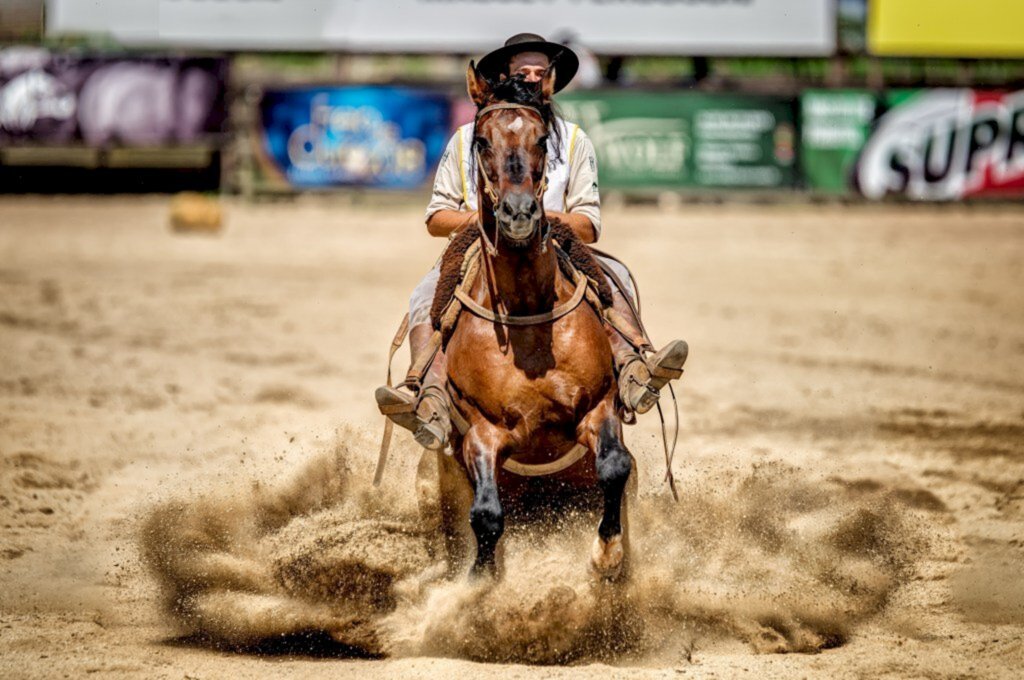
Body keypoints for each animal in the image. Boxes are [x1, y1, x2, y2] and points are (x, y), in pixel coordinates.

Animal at [432, 65, 630, 577]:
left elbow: (615, 466)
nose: (519, 213)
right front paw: (478, 583)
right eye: (482, 140)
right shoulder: (480, 432)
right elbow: (485, 514)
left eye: (542, 139)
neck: (525, 315)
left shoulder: (598, 406)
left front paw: (607, 554)